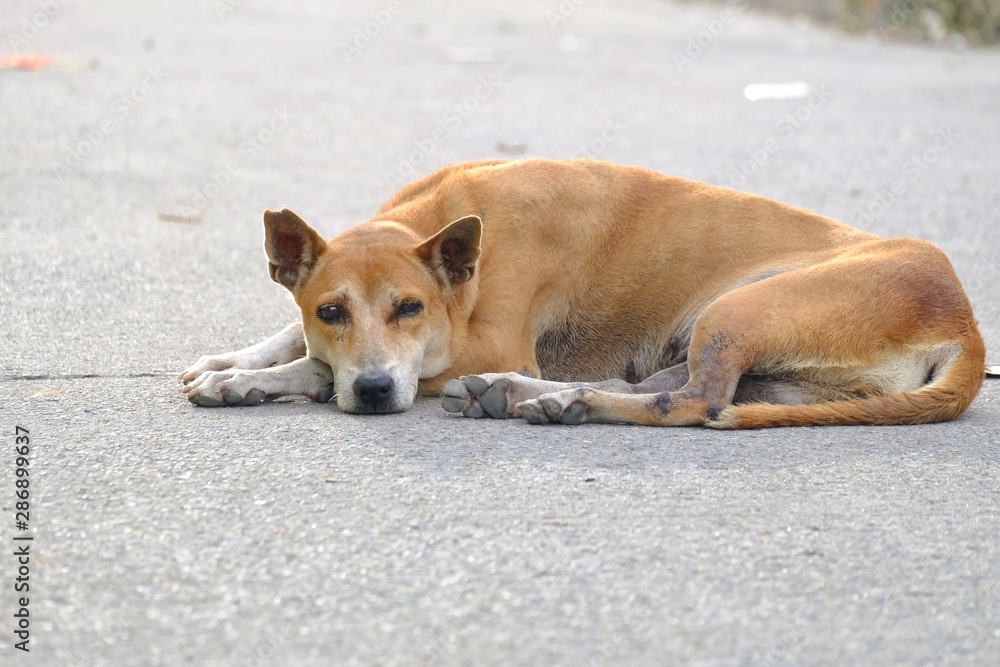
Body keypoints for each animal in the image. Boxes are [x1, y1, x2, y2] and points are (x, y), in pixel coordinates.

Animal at [180, 159, 984, 428]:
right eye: (331, 310)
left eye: (410, 309)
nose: (374, 391)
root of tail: (967, 322)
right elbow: (293, 336)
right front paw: (233, 364)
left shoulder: (484, 340)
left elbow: (317, 366)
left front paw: (261, 380)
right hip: (743, 351)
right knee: (671, 387)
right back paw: (540, 397)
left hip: (738, 308)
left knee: (692, 403)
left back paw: (551, 399)